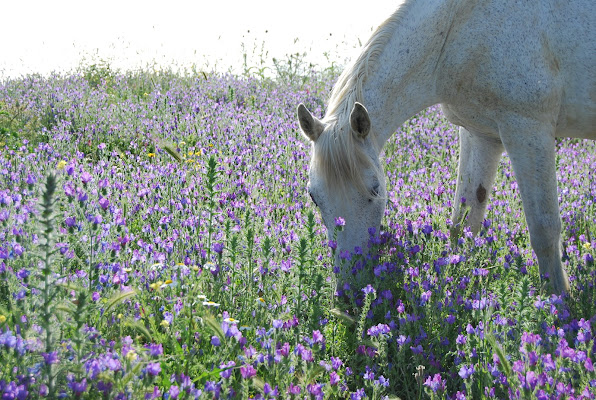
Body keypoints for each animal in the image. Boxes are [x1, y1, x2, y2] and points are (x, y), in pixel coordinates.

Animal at [298, 0, 596, 294]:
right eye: (314, 196)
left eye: (376, 190)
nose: (349, 292)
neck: (459, 25)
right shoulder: (481, 135)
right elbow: (463, 223)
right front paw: (458, 283)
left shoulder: (528, 130)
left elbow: (544, 229)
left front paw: (559, 301)